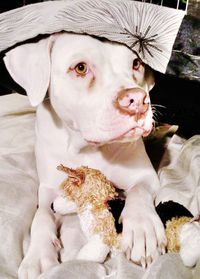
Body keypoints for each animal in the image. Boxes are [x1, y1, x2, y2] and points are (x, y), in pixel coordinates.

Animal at [4, 34, 166, 278]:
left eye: (136, 63)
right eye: (81, 67)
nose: (137, 101)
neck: (87, 148)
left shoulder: (145, 176)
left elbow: (139, 192)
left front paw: (142, 228)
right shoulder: (49, 190)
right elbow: (41, 216)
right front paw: (38, 255)